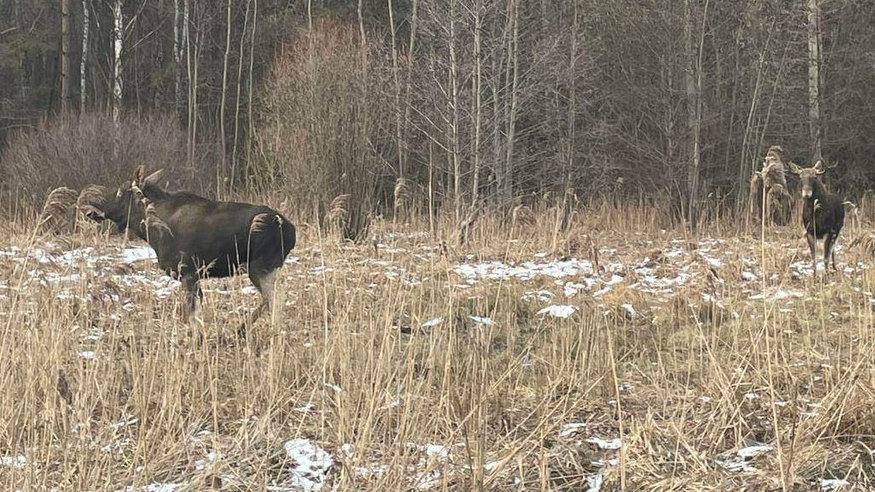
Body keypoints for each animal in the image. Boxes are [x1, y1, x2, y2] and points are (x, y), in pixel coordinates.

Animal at [88, 166, 298, 334]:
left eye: (121, 192)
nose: (93, 209)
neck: (152, 233)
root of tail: (291, 231)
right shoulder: (194, 275)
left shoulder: (188, 272)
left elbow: (192, 315)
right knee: (270, 299)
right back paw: (242, 329)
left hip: (260, 266)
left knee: (276, 298)